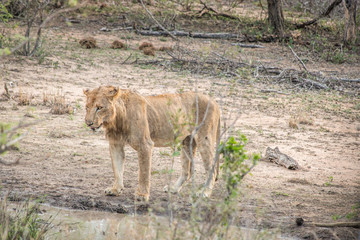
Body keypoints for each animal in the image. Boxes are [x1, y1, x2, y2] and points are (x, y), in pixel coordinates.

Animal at [83, 85, 221, 202]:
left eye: (99, 107)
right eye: (87, 107)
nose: (88, 123)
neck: (116, 120)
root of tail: (214, 101)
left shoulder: (145, 144)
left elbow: (144, 172)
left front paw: (142, 195)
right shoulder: (115, 144)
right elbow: (117, 169)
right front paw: (115, 190)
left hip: (204, 139)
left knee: (212, 170)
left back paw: (204, 193)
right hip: (187, 141)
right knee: (187, 171)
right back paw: (173, 189)